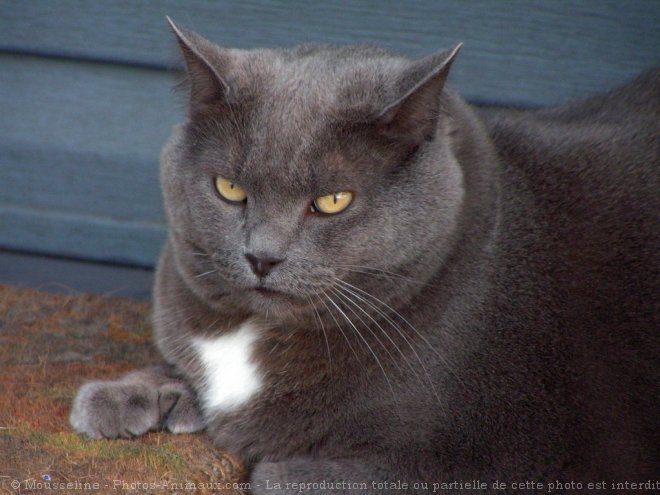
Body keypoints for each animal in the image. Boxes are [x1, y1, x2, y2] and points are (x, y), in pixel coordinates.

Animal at [69, 18, 656, 492]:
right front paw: (126, 394)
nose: (262, 256)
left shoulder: (498, 460)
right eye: (229, 189)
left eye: (333, 201)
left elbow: (279, 476)